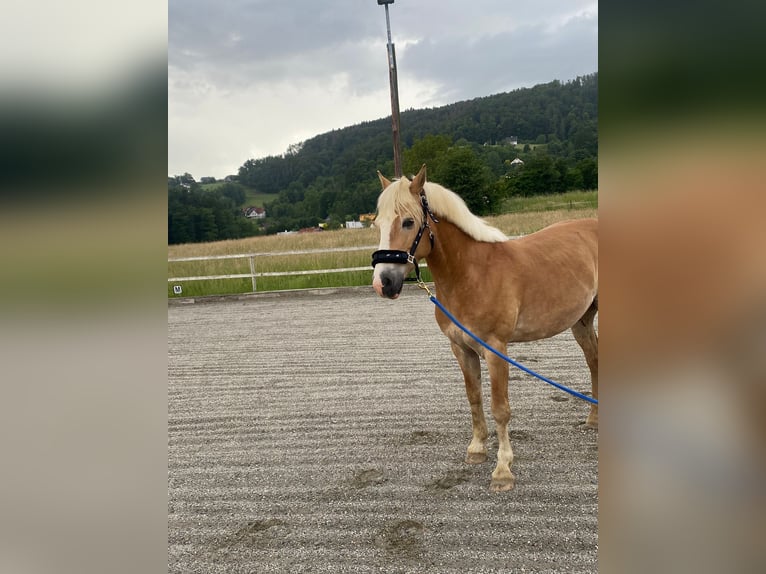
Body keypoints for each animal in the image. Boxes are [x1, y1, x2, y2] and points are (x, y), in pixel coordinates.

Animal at [372, 166, 600, 496]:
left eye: (408, 222)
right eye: (377, 223)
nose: (383, 283)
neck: (471, 273)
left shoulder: (496, 349)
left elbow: (500, 408)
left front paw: (503, 469)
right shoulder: (461, 348)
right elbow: (474, 398)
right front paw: (477, 449)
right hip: (581, 322)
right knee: (594, 361)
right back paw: (594, 418)